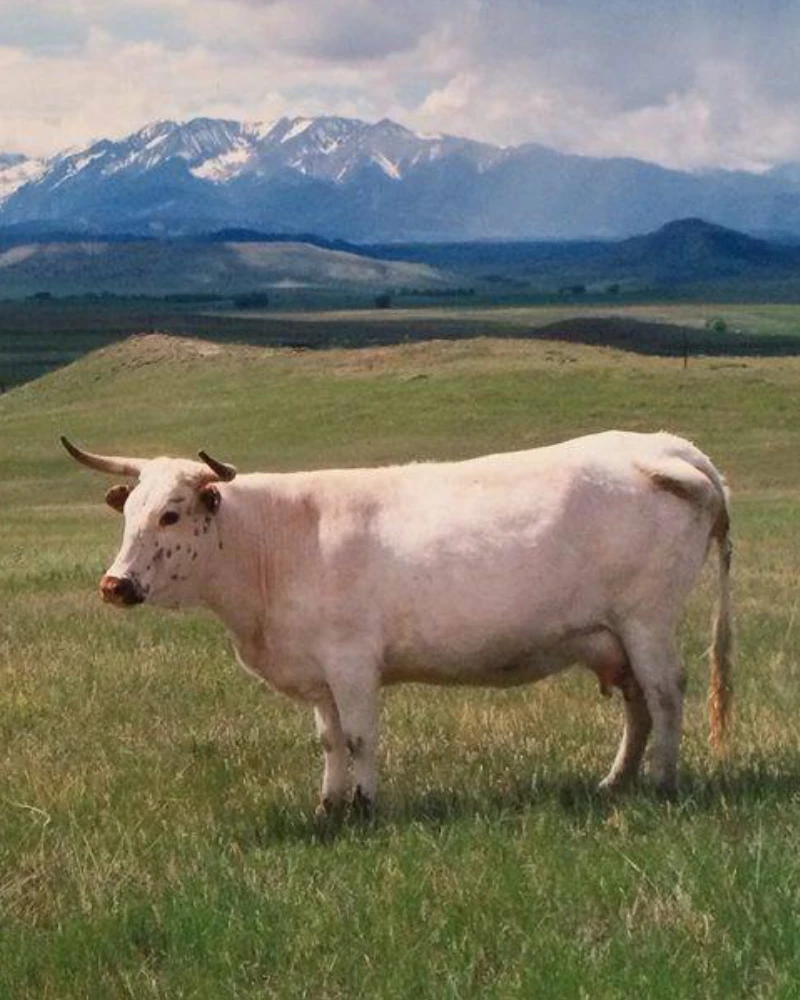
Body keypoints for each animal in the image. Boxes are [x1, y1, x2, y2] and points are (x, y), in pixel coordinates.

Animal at [62, 430, 732, 812]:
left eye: (171, 514)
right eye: (131, 512)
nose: (114, 585)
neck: (274, 540)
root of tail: (668, 449)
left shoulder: (352, 663)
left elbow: (360, 736)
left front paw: (365, 806)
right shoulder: (319, 673)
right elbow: (330, 739)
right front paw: (329, 806)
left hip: (647, 620)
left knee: (665, 694)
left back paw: (663, 784)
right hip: (613, 637)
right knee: (638, 706)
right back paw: (616, 783)